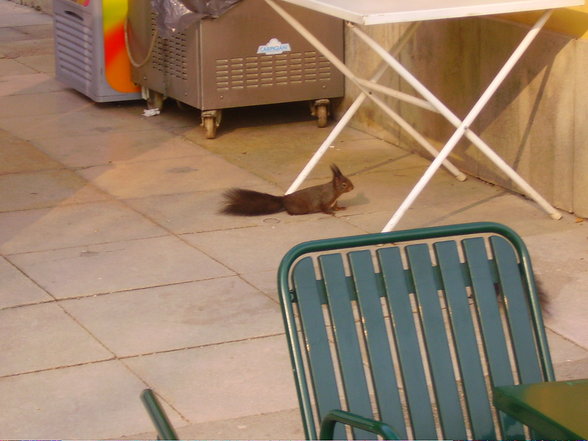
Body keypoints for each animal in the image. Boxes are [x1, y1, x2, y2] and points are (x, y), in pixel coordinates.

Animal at [222, 163, 354, 215]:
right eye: (344, 184)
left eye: (348, 180)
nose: (353, 187)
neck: (334, 191)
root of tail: (284, 199)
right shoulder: (324, 200)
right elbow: (323, 208)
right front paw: (330, 212)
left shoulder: (334, 201)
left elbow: (336, 206)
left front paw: (340, 208)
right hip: (300, 208)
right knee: (289, 211)